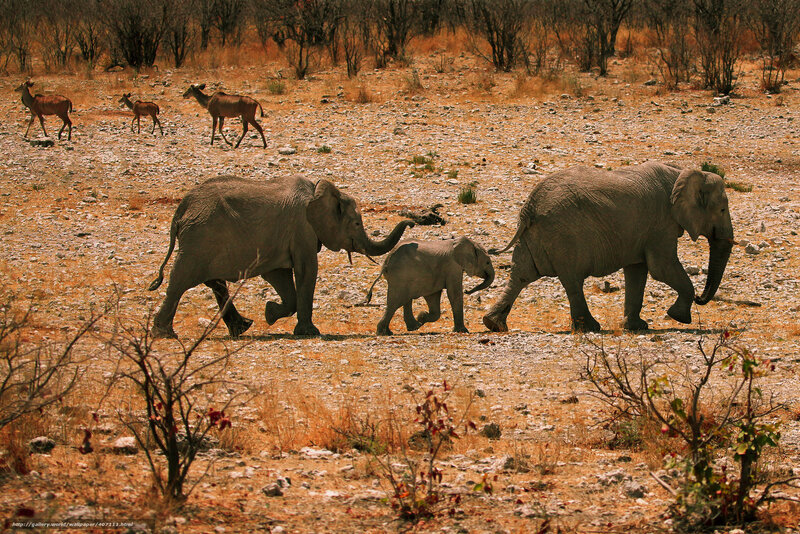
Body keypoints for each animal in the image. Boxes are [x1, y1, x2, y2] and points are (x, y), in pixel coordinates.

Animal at [148, 175, 414, 338]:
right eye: (357, 223)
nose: (412, 222)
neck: (318, 190)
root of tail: (181, 210)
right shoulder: (302, 228)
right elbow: (307, 271)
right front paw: (310, 332)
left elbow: (280, 277)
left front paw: (269, 313)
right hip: (199, 238)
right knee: (181, 279)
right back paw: (164, 334)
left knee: (214, 282)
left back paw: (242, 328)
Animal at [364, 237, 495, 335]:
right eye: (487, 262)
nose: (468, 291)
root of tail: (386, 262)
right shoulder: (453, 267)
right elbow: (454, 294)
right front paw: (463, 331)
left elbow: (434, 297)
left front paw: (421, 317)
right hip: (400, 276)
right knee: (395, 302)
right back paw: (384, 332)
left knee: (403, 300)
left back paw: (410, 327)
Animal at [482, 161, 734, 333]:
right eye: (722, 209)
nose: (701, 298)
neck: (682, 172)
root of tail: (529, 206)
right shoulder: (661, 224)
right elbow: (661, 268)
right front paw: (678, 317)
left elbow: (637, 271)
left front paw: (637, 327)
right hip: (564, 236)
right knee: (572, 280)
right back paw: (591, 328)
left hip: (536, 236)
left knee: (522, 275)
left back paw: (493, 324)